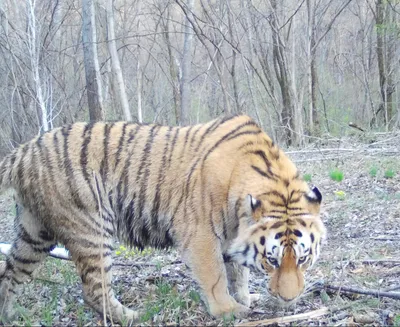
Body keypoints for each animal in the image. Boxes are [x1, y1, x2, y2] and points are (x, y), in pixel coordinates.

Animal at [0, 114, 324, 322]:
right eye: (272, 260)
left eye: (303, 259)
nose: (289, 300)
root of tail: (23, 151)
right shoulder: (199, 234)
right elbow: (216, 275)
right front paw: (228, 310)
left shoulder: (235, 234)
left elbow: (238, 270)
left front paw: (245, 297)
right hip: (91, 228)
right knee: (94, 289)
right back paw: (132, 316)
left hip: (34, 233)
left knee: (10, 273)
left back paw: (11, 314)